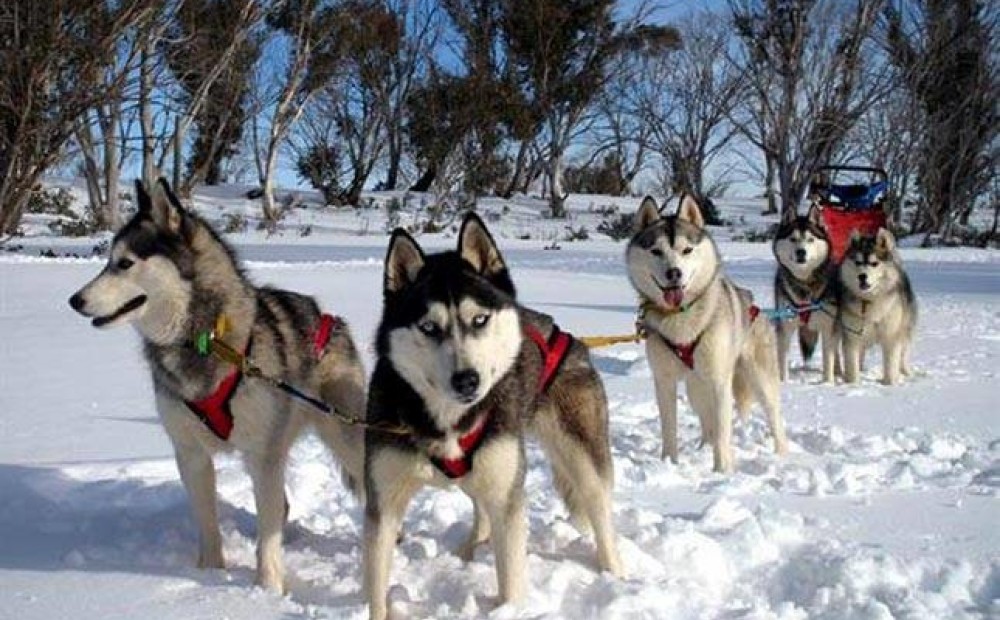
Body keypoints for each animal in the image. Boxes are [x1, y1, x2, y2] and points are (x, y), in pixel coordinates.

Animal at [69, 179, 368, 592]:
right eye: (107, 260)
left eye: (125, 263)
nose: (74, 300)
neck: (204, 340)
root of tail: (326, 316)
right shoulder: (191, 455)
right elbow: (208, 522)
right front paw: (210, 573)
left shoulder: (261, 454)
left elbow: (267, 537)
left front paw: (268, 589)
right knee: (280, 506)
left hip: (345, 437)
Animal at [364, 212, 620, 616]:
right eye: (429, 327)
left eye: (480, 320)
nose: (467, 379)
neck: (449, 421)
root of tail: (558, 330)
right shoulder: (384, 504)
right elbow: (376, 589)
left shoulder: (507, 499)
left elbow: (511, 580)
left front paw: (508, 607)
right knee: (480, 508)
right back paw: (471, 549)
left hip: (581, 456)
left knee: (600, 510)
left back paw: (616, 574)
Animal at [628, 196, 784, 472]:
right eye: (656, 251)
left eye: (687, 250)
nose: (674, 273)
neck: (680, 320)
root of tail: (753, 304)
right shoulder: (664, 381)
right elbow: (669, 429)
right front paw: (669, 463)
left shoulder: (719, 382)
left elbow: (723, 432)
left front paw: (722, 471)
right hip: (695, 389)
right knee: (707, 423)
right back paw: (703, 449)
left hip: (759, 381)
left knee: (773, 419)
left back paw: (782, 455)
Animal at [772, 206, 844, 380]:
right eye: (792, 239)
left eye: (810, 239)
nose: (801, 252)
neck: (805, 284)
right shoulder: (785, 326)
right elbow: (782, 361)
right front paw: (783, 381)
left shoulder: (828, 327)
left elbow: (828, 359)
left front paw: (827, 382)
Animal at [836, 228, 916, 382]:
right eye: (858, 262)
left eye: (874, 263)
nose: (862, 276)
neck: (870, 300)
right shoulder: (852, 337)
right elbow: (852, 366)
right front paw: (853, 384)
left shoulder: (891, 335)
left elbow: (891, 365)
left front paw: (890, 383)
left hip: (906, 328)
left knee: (904, 354)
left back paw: (906, 372)